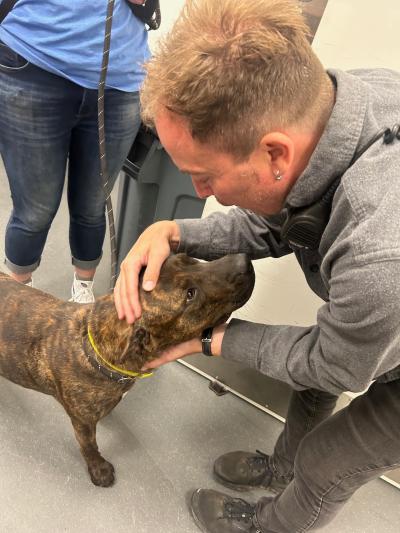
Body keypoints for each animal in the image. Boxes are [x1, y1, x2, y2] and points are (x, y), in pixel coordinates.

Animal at [0, 254, 255, 486]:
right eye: (190, 295)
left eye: (189, 259)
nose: (243, 260)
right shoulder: (83, 422)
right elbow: (89, 445)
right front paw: (99, 469)